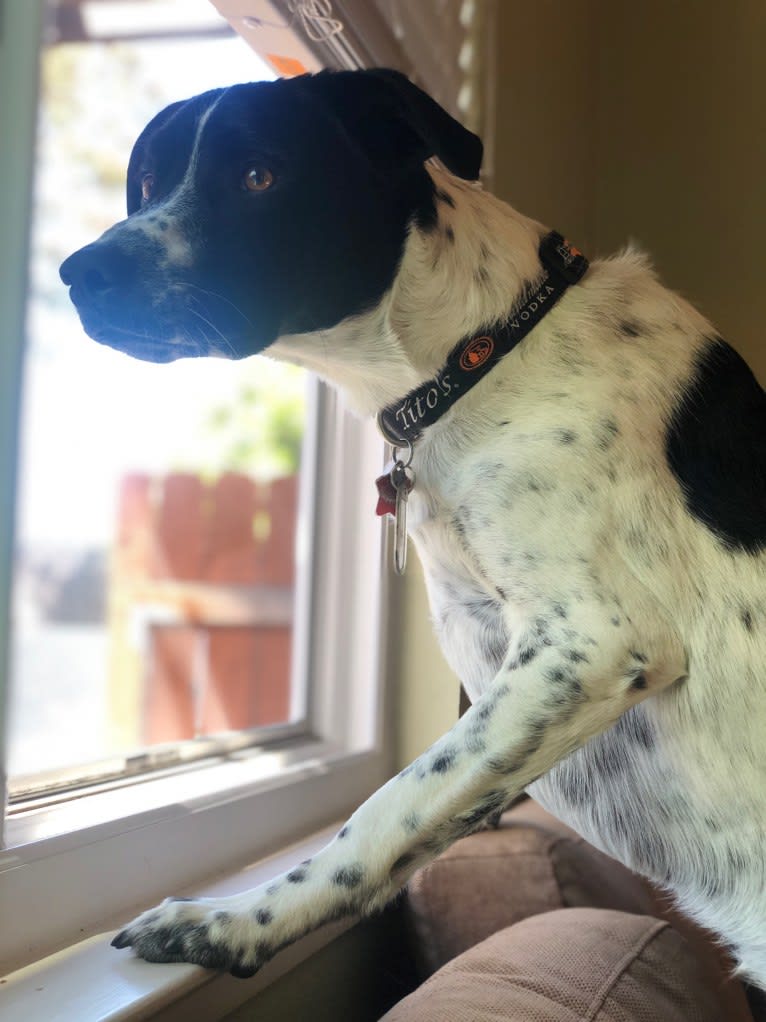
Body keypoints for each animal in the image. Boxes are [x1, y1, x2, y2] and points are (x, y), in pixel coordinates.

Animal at [60, 67, 766, 985]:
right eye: (146, 182)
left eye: (259, 175)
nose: (80, 272)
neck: (484, 354)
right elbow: (433, 811)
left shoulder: (595, 643)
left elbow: (387, 806)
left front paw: (239, 921)